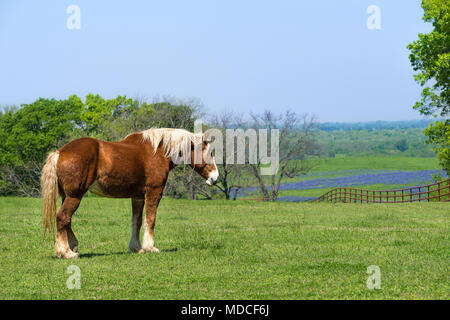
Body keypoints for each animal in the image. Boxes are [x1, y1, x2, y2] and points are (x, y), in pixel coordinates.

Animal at [41, 127, 219, 258]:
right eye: (209, 153)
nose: (215, 177)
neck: (158, 151)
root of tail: (59, 153)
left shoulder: (138, 197)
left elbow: (137, 221)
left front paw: (136, 248)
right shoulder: (154, 192)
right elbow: (150, 219)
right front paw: (150, 247)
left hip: (67, 196)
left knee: (67, 220)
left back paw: (72, 248)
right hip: (75, 196)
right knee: (63, 218)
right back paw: (65, 252)